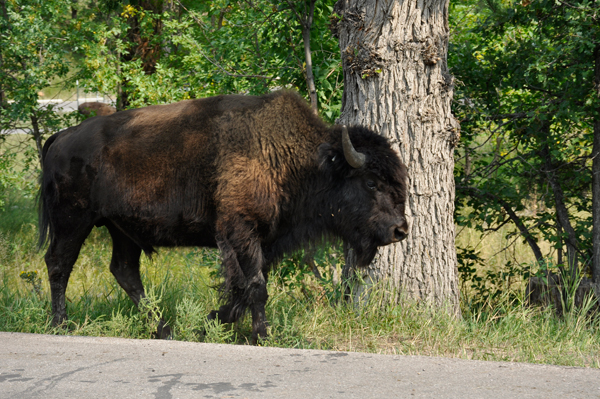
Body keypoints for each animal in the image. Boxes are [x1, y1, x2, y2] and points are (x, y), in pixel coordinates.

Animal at [38, 90, 408, 344]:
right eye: (371, 182)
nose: (400, 229)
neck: (297, 161)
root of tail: (62, 137)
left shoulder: (263, 240)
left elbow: (247, 286)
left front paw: (213, 323)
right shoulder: (239, 229)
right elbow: (254, 286)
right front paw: (260, 335)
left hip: (122, 228)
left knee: (125, 271)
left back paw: (164, 328)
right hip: (73, 220)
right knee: (59, 263)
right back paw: (61, 325)